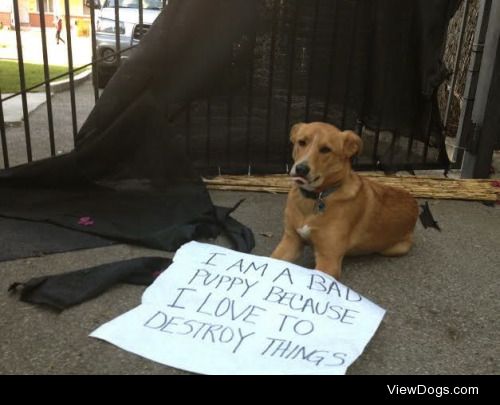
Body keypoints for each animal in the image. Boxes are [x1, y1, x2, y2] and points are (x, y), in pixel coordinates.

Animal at [272, 121, 420, 280]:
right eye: (302, 142)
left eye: (326, 150)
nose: (301, 168)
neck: (317, 197)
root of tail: (414, 203)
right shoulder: (291, 241)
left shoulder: (328, 260)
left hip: (396, 248)